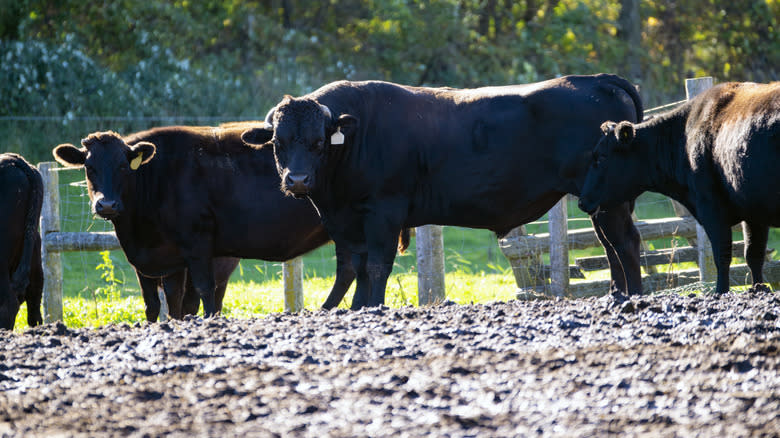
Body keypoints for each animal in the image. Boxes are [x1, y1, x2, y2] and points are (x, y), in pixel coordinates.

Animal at [580, 82, 780, 294]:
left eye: (601, 157)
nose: (582, 201)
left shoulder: (711, 208)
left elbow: (722, 255)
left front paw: (720, 291)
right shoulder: (753, 213)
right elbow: (753, 255)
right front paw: (759, 289)